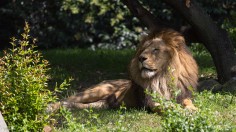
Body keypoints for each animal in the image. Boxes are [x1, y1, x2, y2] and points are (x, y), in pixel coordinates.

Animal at [48, 28, 198, 112]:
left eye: (156, 50)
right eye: (143, 50)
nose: (141, 58)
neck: (163, 77)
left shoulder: (183, 95)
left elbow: (188, 103)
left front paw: (193, 109)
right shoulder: (152, 101)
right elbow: (168, 107)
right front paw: (181, 112)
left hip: (101, 104)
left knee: (82, 105)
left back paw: (67, 107)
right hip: (97, 91)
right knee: (66, 99)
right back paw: (51, 107)